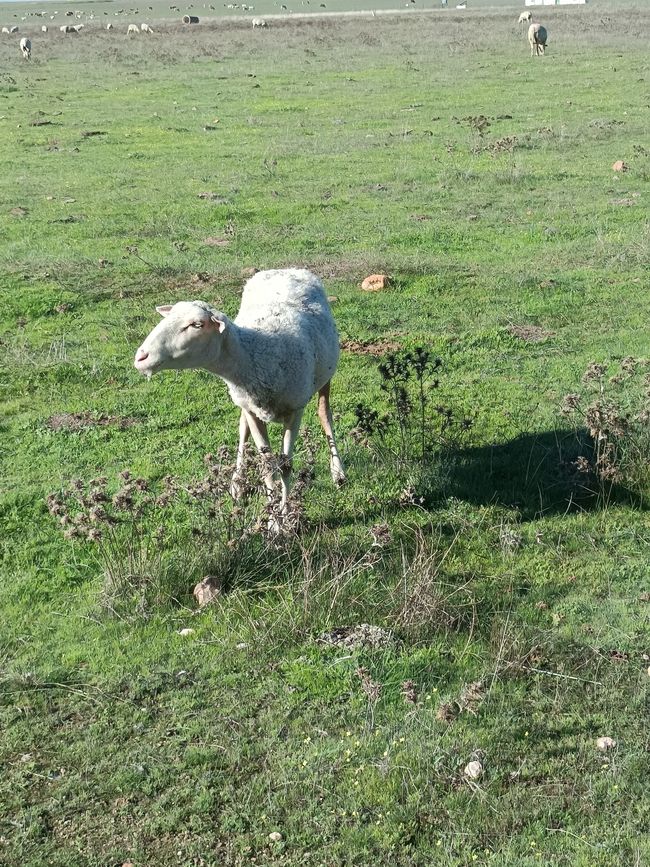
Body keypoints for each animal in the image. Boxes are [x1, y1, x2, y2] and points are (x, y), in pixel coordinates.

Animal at [135, 272, 346, 512]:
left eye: (196, 324)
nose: (141, 357)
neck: (254, 353)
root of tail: (287, 269)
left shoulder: (296, 408)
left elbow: (285, 465)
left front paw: (285, 511)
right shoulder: (253, 409)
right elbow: (266, 465)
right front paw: (273, 514)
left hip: (325, 376)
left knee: (324, 414)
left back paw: (338, 472)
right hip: (246, 402)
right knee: (242, 428)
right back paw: (237, 482)